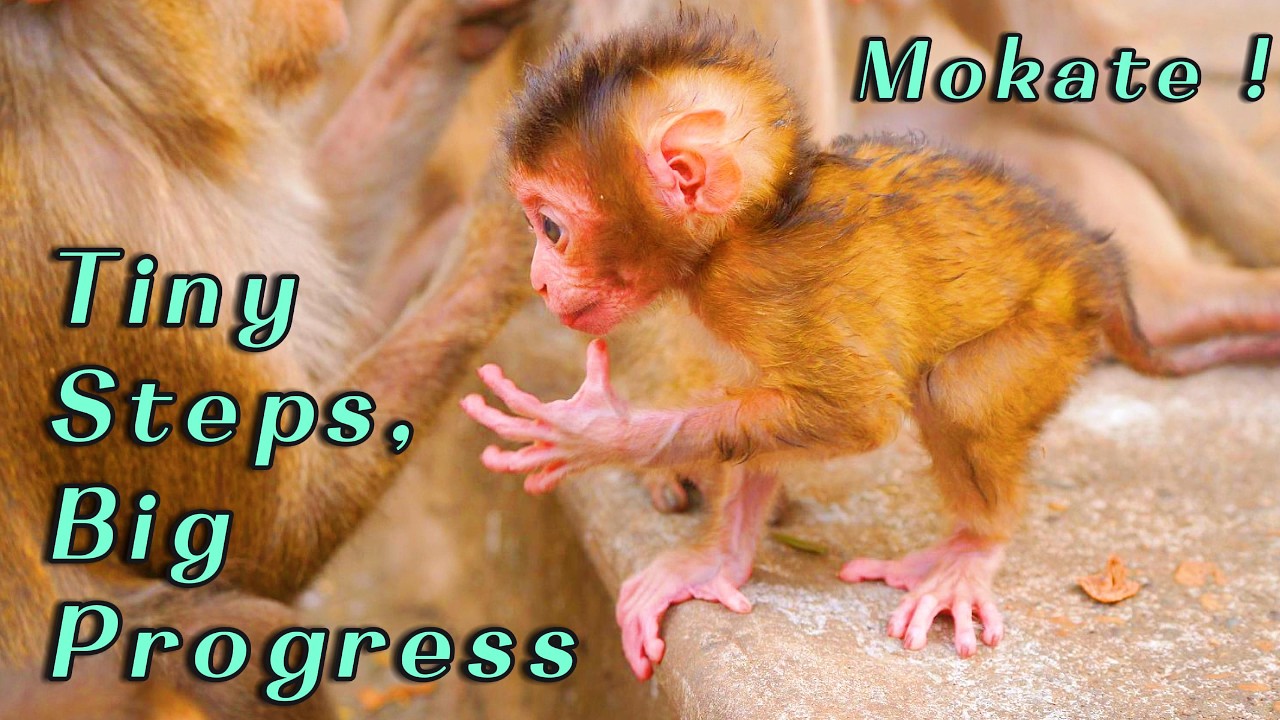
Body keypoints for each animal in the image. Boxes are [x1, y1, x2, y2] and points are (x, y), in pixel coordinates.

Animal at [460, 12, 1280, 679]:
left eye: (551, 228)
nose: (537, 280)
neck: (746, 228)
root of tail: (1096, 264)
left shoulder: (756, 291)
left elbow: (855, 416)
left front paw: (599, 433)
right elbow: (770, 411)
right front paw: (717, 560)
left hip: (1051, 326)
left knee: (955, 393)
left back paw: (973, 549)